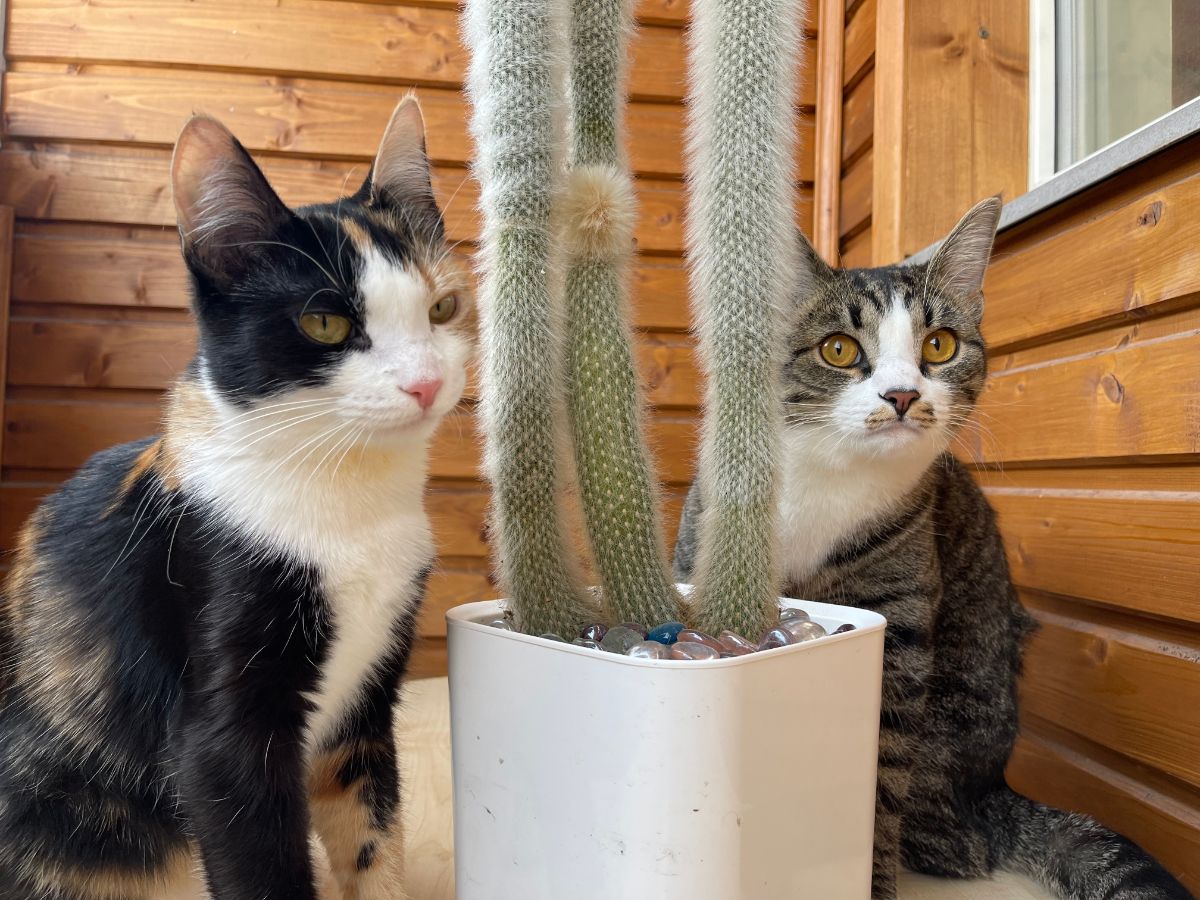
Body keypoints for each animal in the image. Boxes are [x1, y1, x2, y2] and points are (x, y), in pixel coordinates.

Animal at [0, 95, 472, 897]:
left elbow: (372, 837)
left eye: (442, 308)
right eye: (325, 321)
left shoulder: (366, 708)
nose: (427, 382)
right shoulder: (221, 730)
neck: (347, 502)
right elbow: (257, 852)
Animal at [676, 199, 1190, 900]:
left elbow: (882, 769)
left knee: (954, 843)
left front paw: (872, 879)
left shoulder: (901, 620)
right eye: (838, 349)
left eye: (938, 345)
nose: (902, 395)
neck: (829, 477)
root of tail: (992, 792)